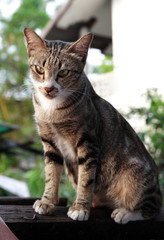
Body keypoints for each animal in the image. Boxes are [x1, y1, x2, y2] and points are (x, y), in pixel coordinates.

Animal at [23, 27, 161, 224]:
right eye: (39, 69)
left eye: (63, 72)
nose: (49, 88)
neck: (52, 110)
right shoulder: (49, 141)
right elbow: (51, 174)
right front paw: (47, 202)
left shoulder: (88, 141)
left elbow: (86, 178)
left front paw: (80, 208)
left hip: (136, 178)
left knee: (152, 209)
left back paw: (125, 213)